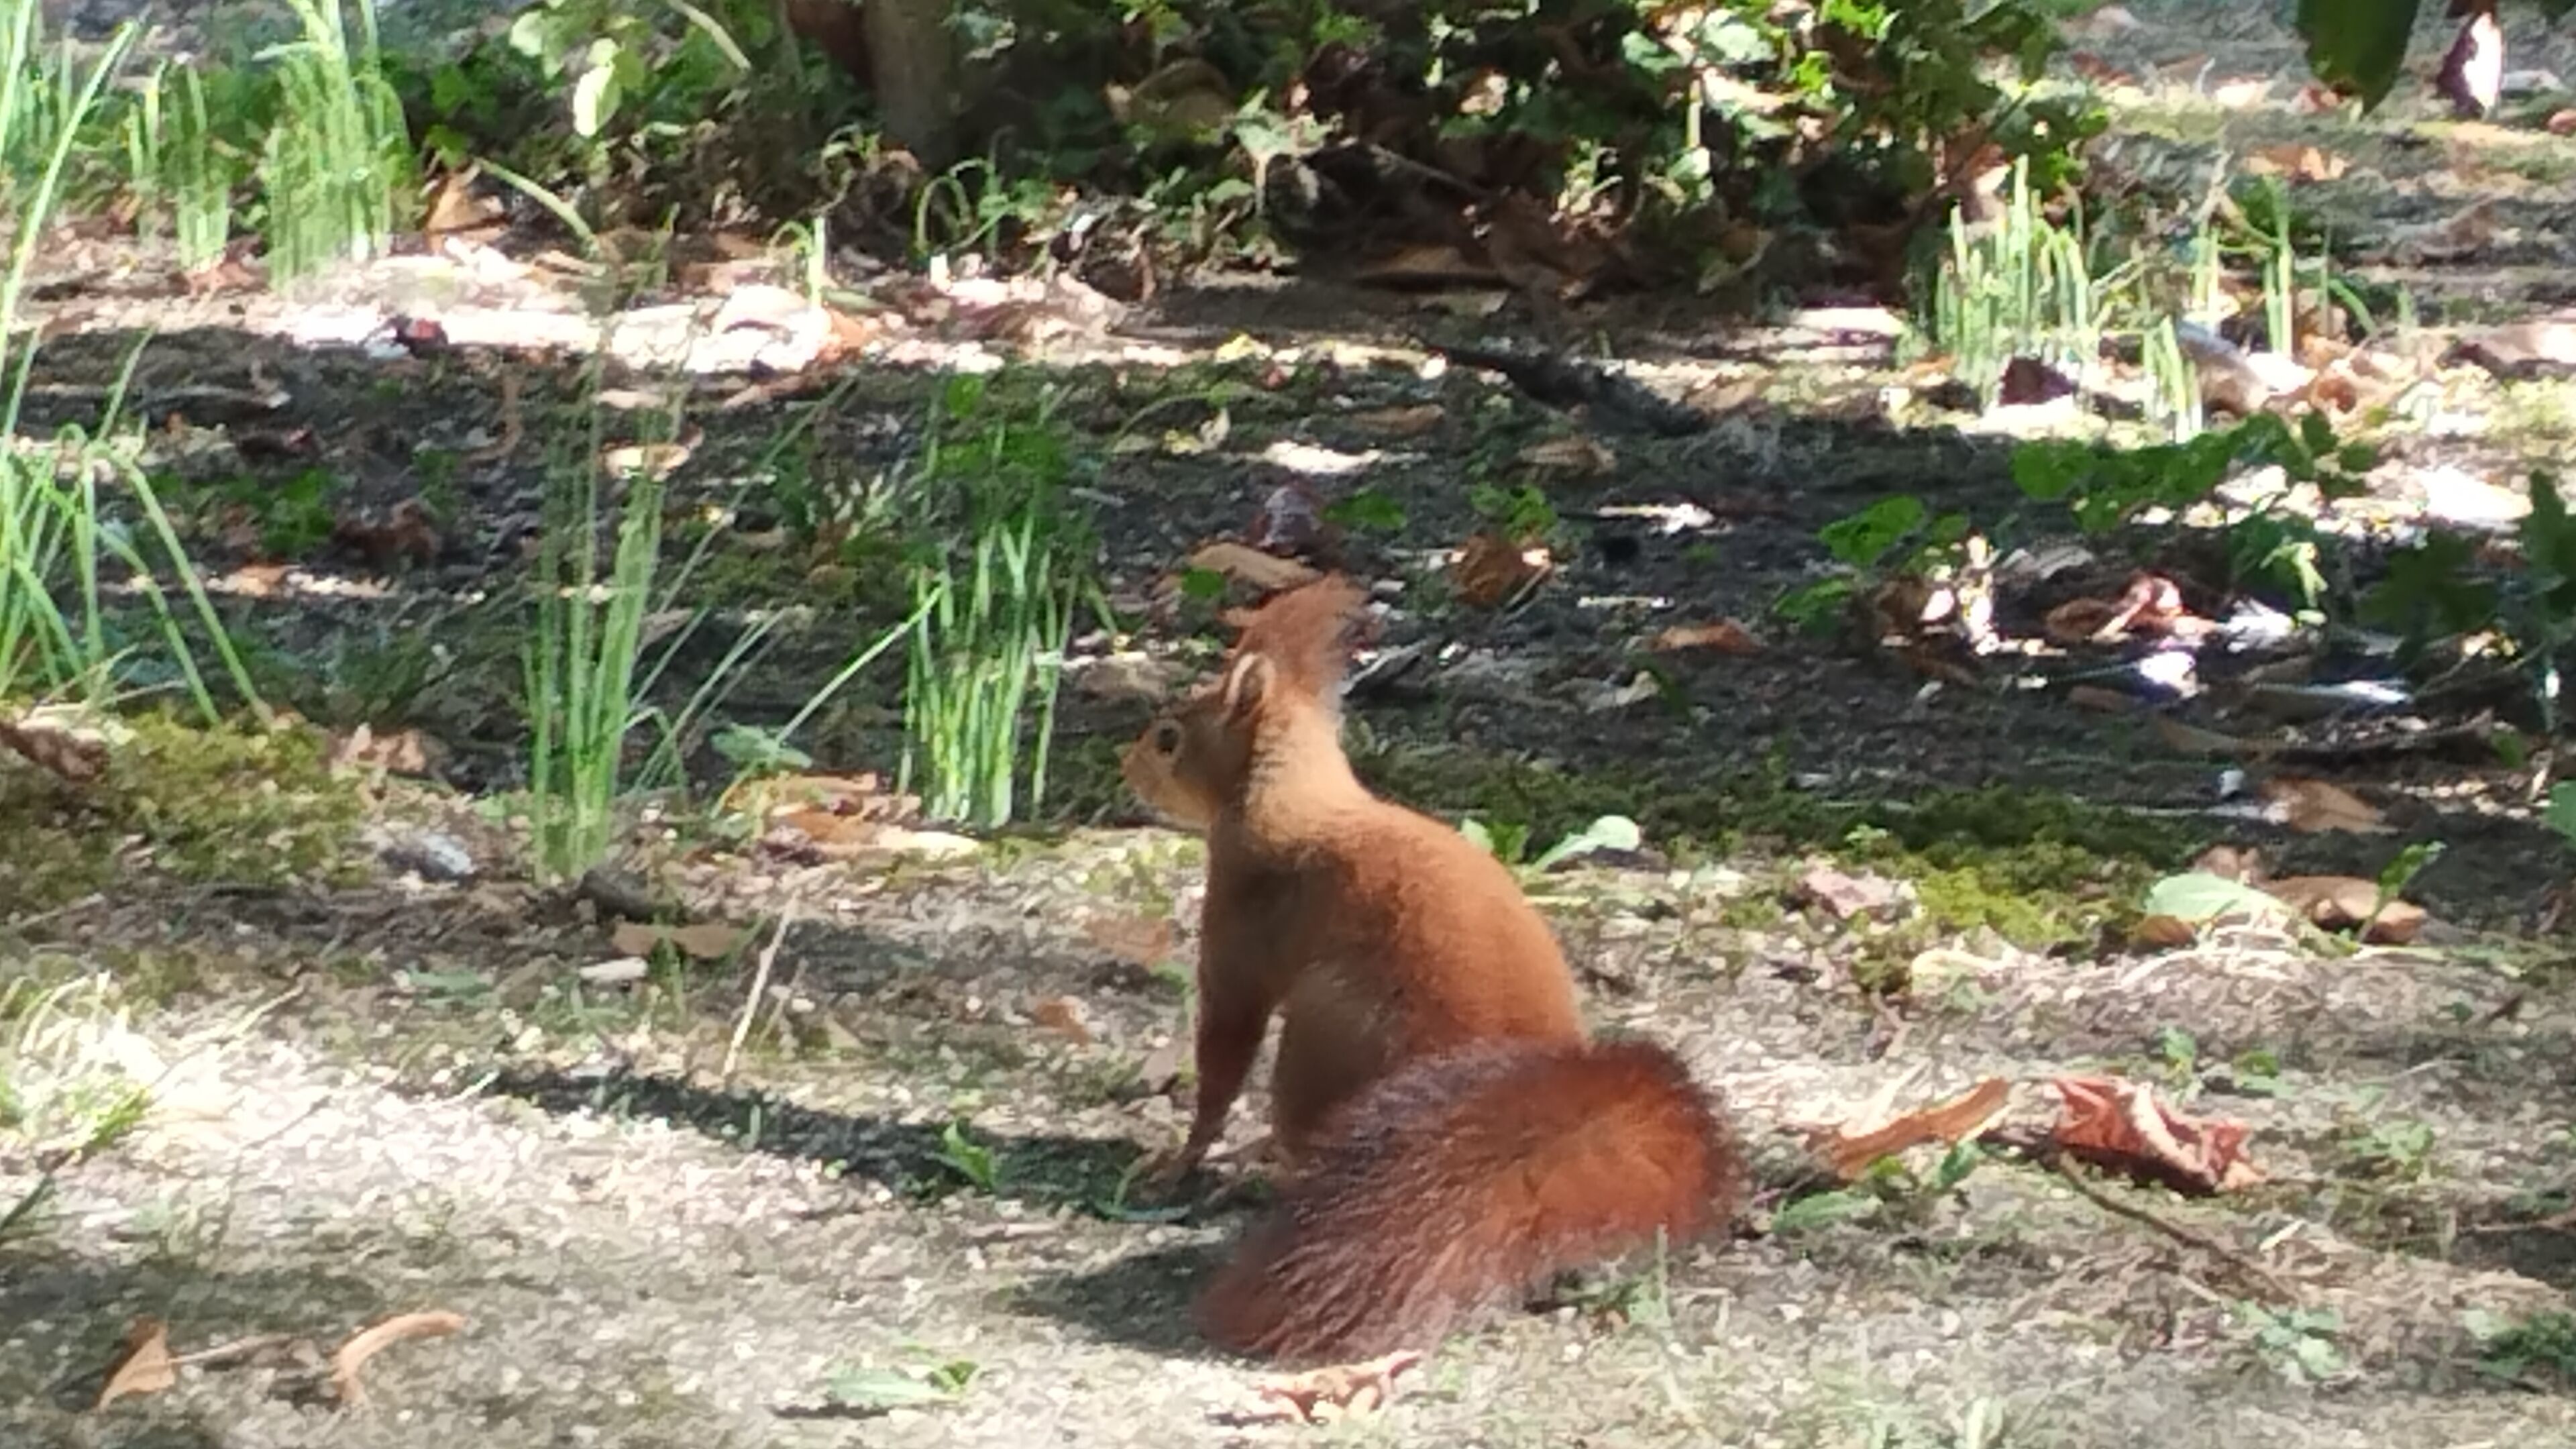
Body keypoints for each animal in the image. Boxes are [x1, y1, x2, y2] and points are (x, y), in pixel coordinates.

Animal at [1120, 573, 1746, 1365]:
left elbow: (1224, 1054)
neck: (1290, 799)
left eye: (1170, 737)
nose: (1125, 764)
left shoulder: (1240, 924)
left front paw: (1184, 1159)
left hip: (1324, 1030)